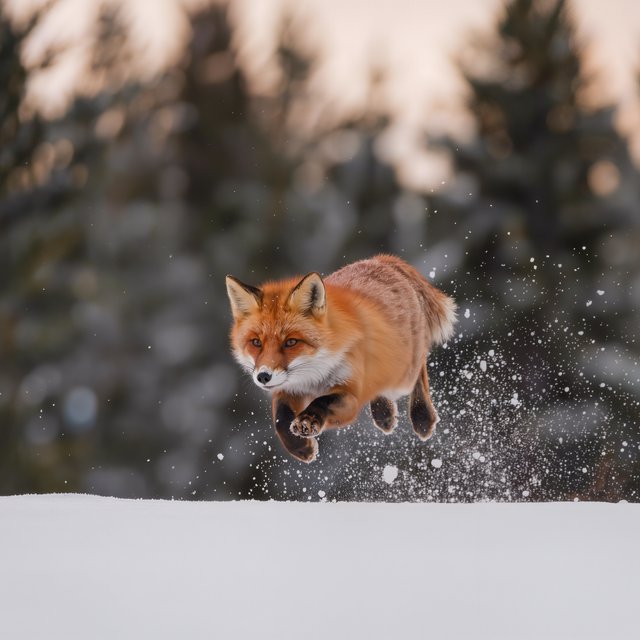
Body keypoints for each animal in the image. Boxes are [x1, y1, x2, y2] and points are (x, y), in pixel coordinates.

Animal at [225, 254, 457, 463]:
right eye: (256, 343)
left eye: (291, 342)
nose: (263, 377)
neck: (314, 374)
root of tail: (381, 259)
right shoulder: (289, 389)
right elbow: (280, 419)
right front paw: (300, 448)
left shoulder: (349, 393)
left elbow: (322, 401)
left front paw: (308, 420)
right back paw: (383, 413)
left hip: (403, 376)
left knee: (419, 370)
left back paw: (422, 417)